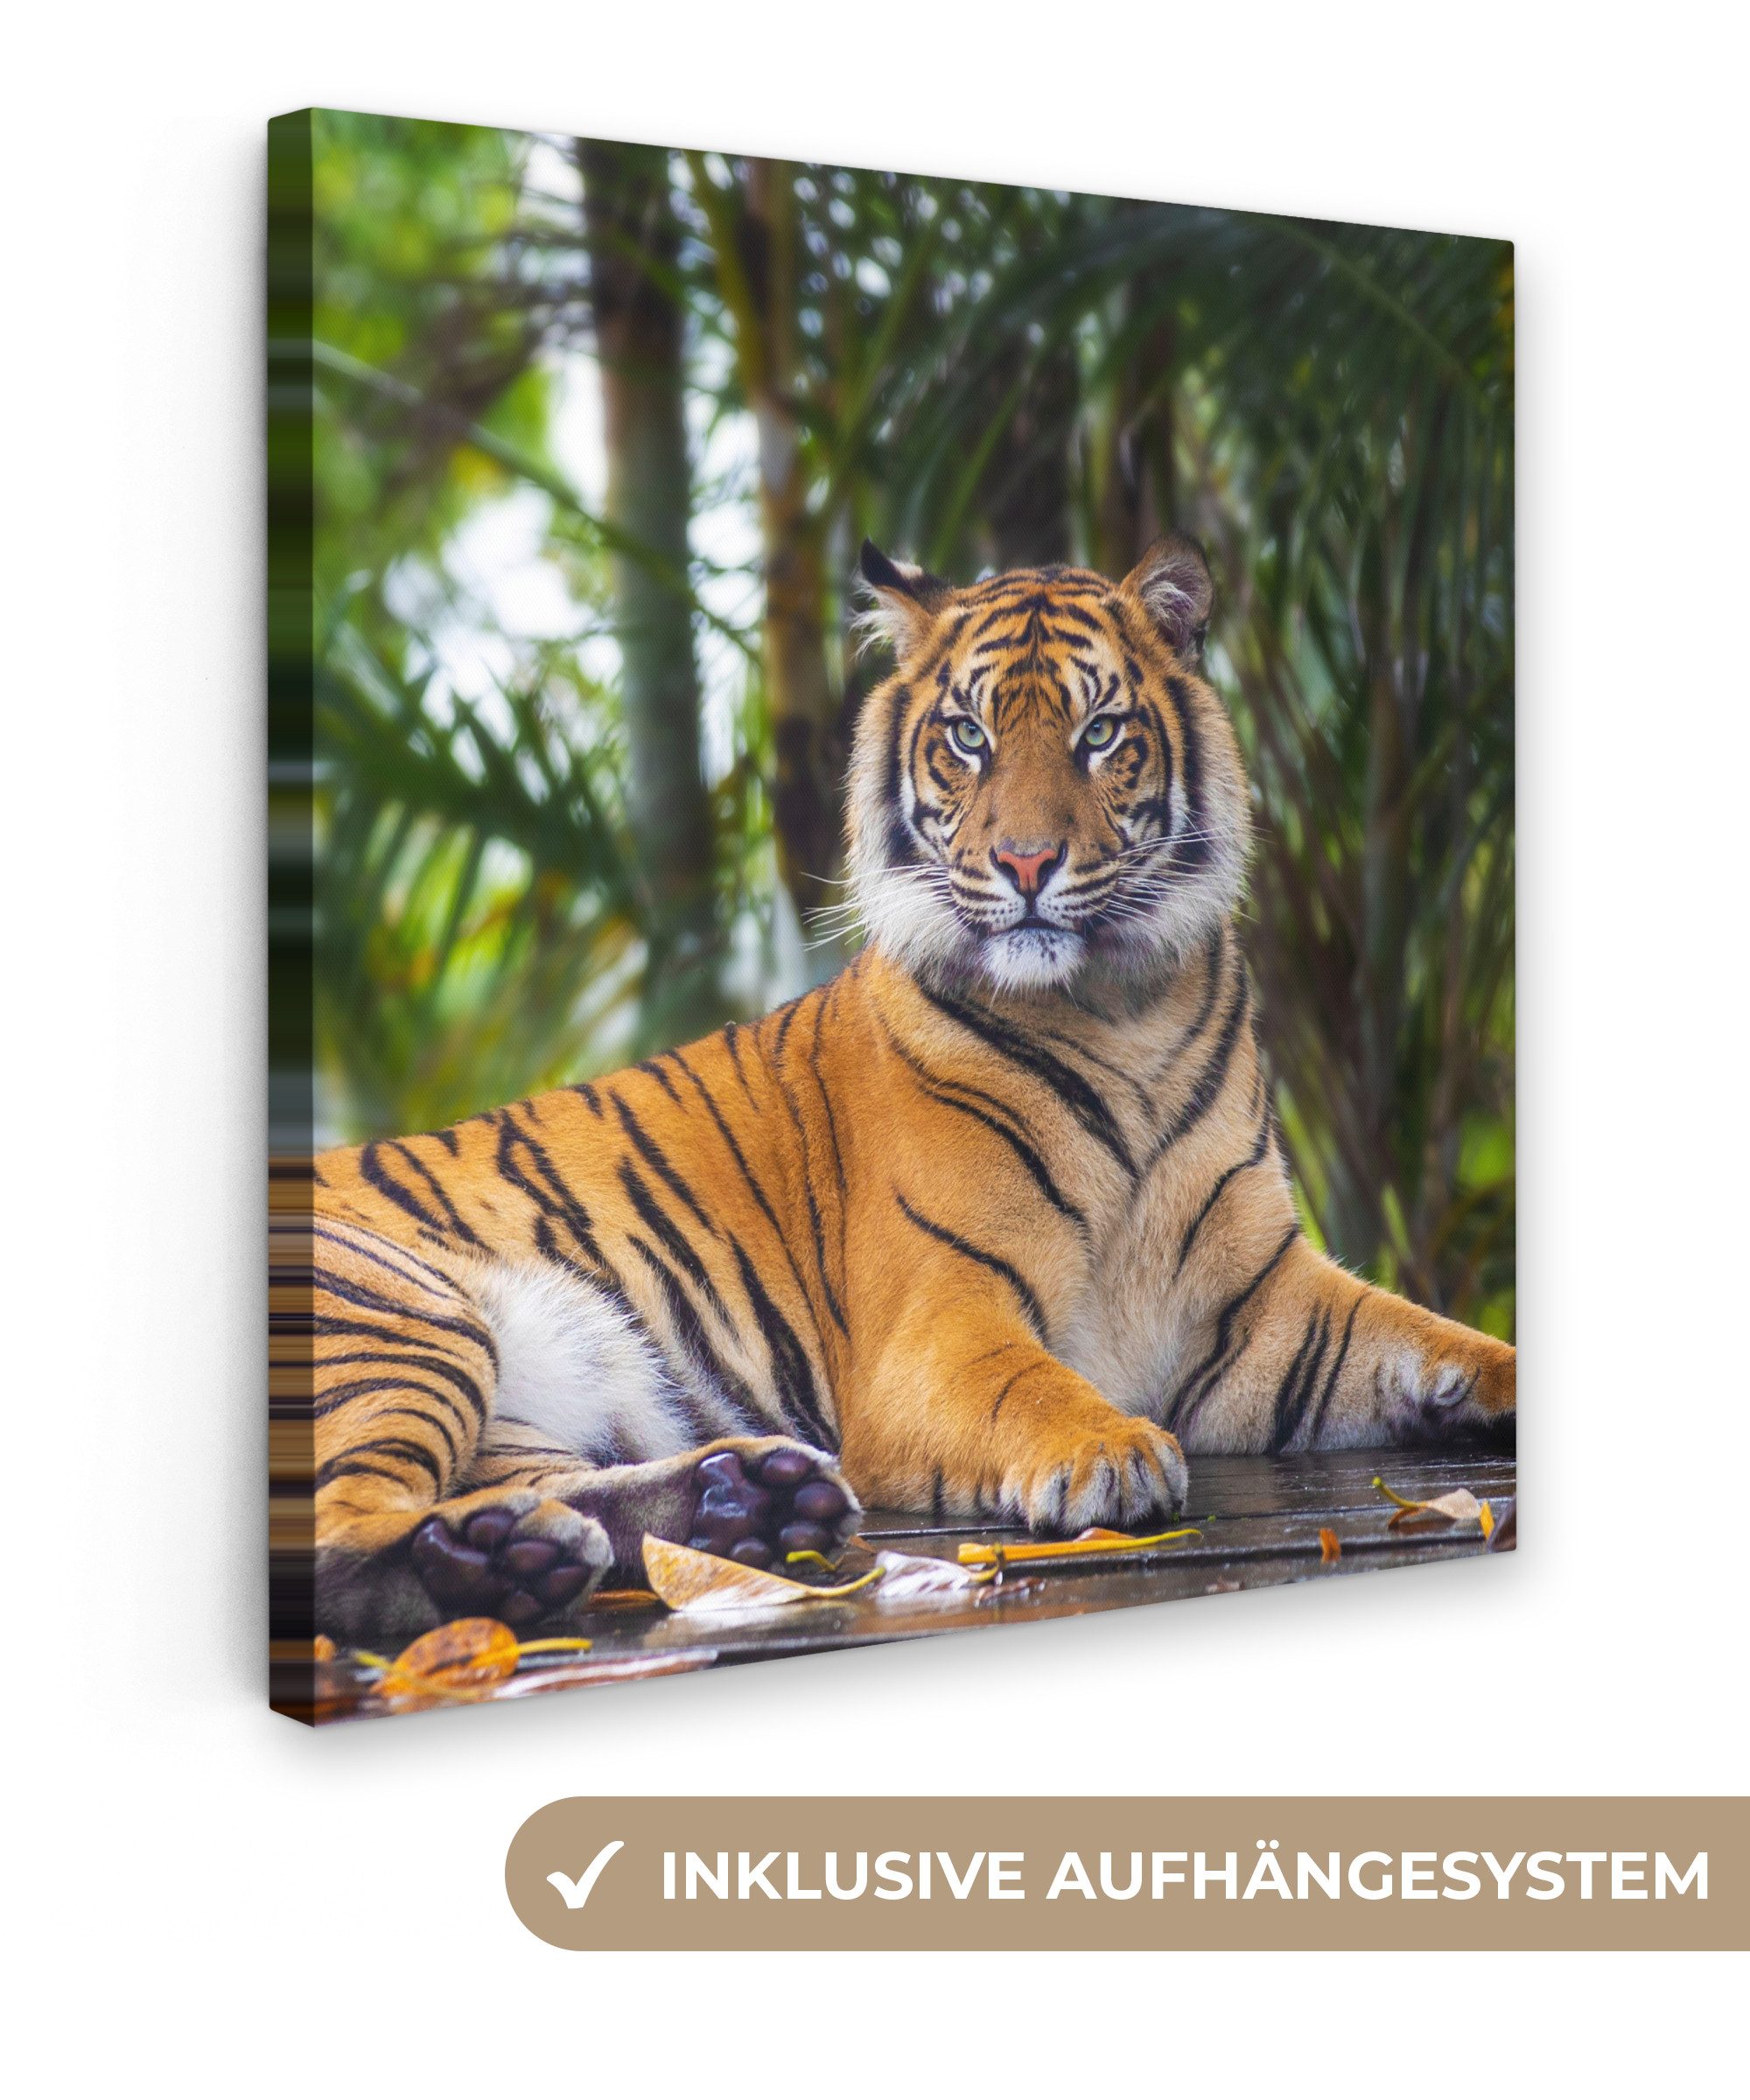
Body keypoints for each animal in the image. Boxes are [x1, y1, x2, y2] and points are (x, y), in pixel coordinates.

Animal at [272, 533, 1514, 1644]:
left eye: (1097, 733)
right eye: (967, 737)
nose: (1025, 863)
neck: (1121, 1014)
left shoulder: (1266, 1309)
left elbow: (1436, 1337)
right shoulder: (939, 1321)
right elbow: (1030, 1383)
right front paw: (1107, 1449)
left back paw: (729, 1507)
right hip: (402, 1316)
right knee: (334, 1535)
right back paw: (501, 1567)